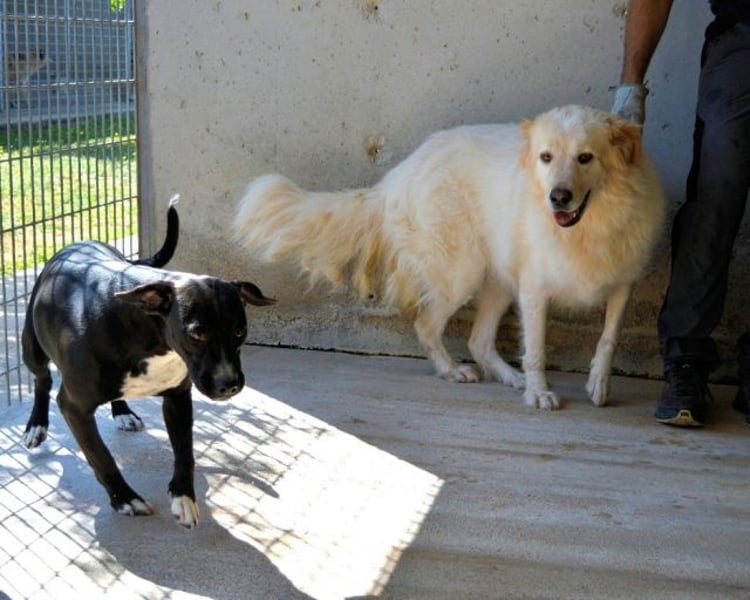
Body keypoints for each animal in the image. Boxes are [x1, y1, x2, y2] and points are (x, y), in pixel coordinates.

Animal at [22, 202, 275, 528]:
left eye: (239, 331)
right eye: (196, 333)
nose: (229, 385)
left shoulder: (178, 398)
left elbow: (185, 452)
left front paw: (183, 496)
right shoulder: (74, 406)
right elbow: (101, 455)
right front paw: (124, 498)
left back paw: (122, 412)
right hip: (32, 348)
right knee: (42, 380)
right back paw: (36, 425)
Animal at [233, 105, 665, 409]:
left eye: (585, 157)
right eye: (546, 157)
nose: (558, 197)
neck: (589, 225)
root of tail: (398, 176)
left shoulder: (622, 282)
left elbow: (609, 337)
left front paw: (598, 384)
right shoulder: (534, 289)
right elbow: (538, 349)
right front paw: (539, 392)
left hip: (495, 280)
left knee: (478, 340)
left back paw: (509, 377)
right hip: (462, 273)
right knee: (427, 325)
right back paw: (453, 371)